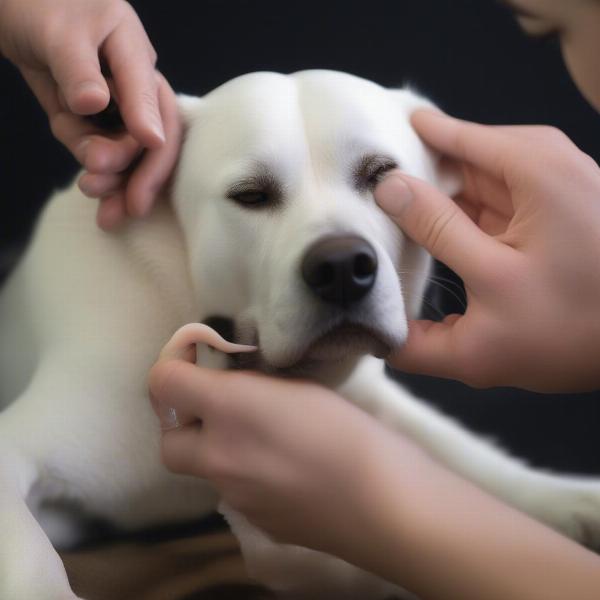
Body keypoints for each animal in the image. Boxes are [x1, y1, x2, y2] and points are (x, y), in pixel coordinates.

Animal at [1, 71, 600, 600]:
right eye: (250, 195)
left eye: (383, 176)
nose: (341, 267)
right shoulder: (25, 448)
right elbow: (32, 557)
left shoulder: (367, 397)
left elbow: (453, 449)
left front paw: (563, 499)